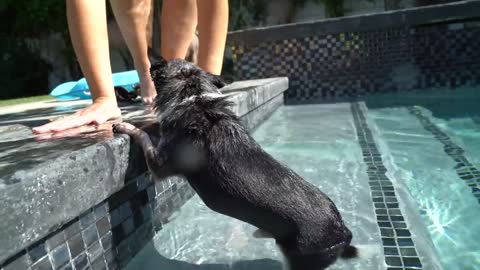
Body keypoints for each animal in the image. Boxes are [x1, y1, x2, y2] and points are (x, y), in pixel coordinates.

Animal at [112, 58, 358, 268]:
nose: (134, 86)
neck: (196, 99)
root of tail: (343, 231)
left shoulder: (159, 164)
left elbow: (143, 137)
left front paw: (126, 125)